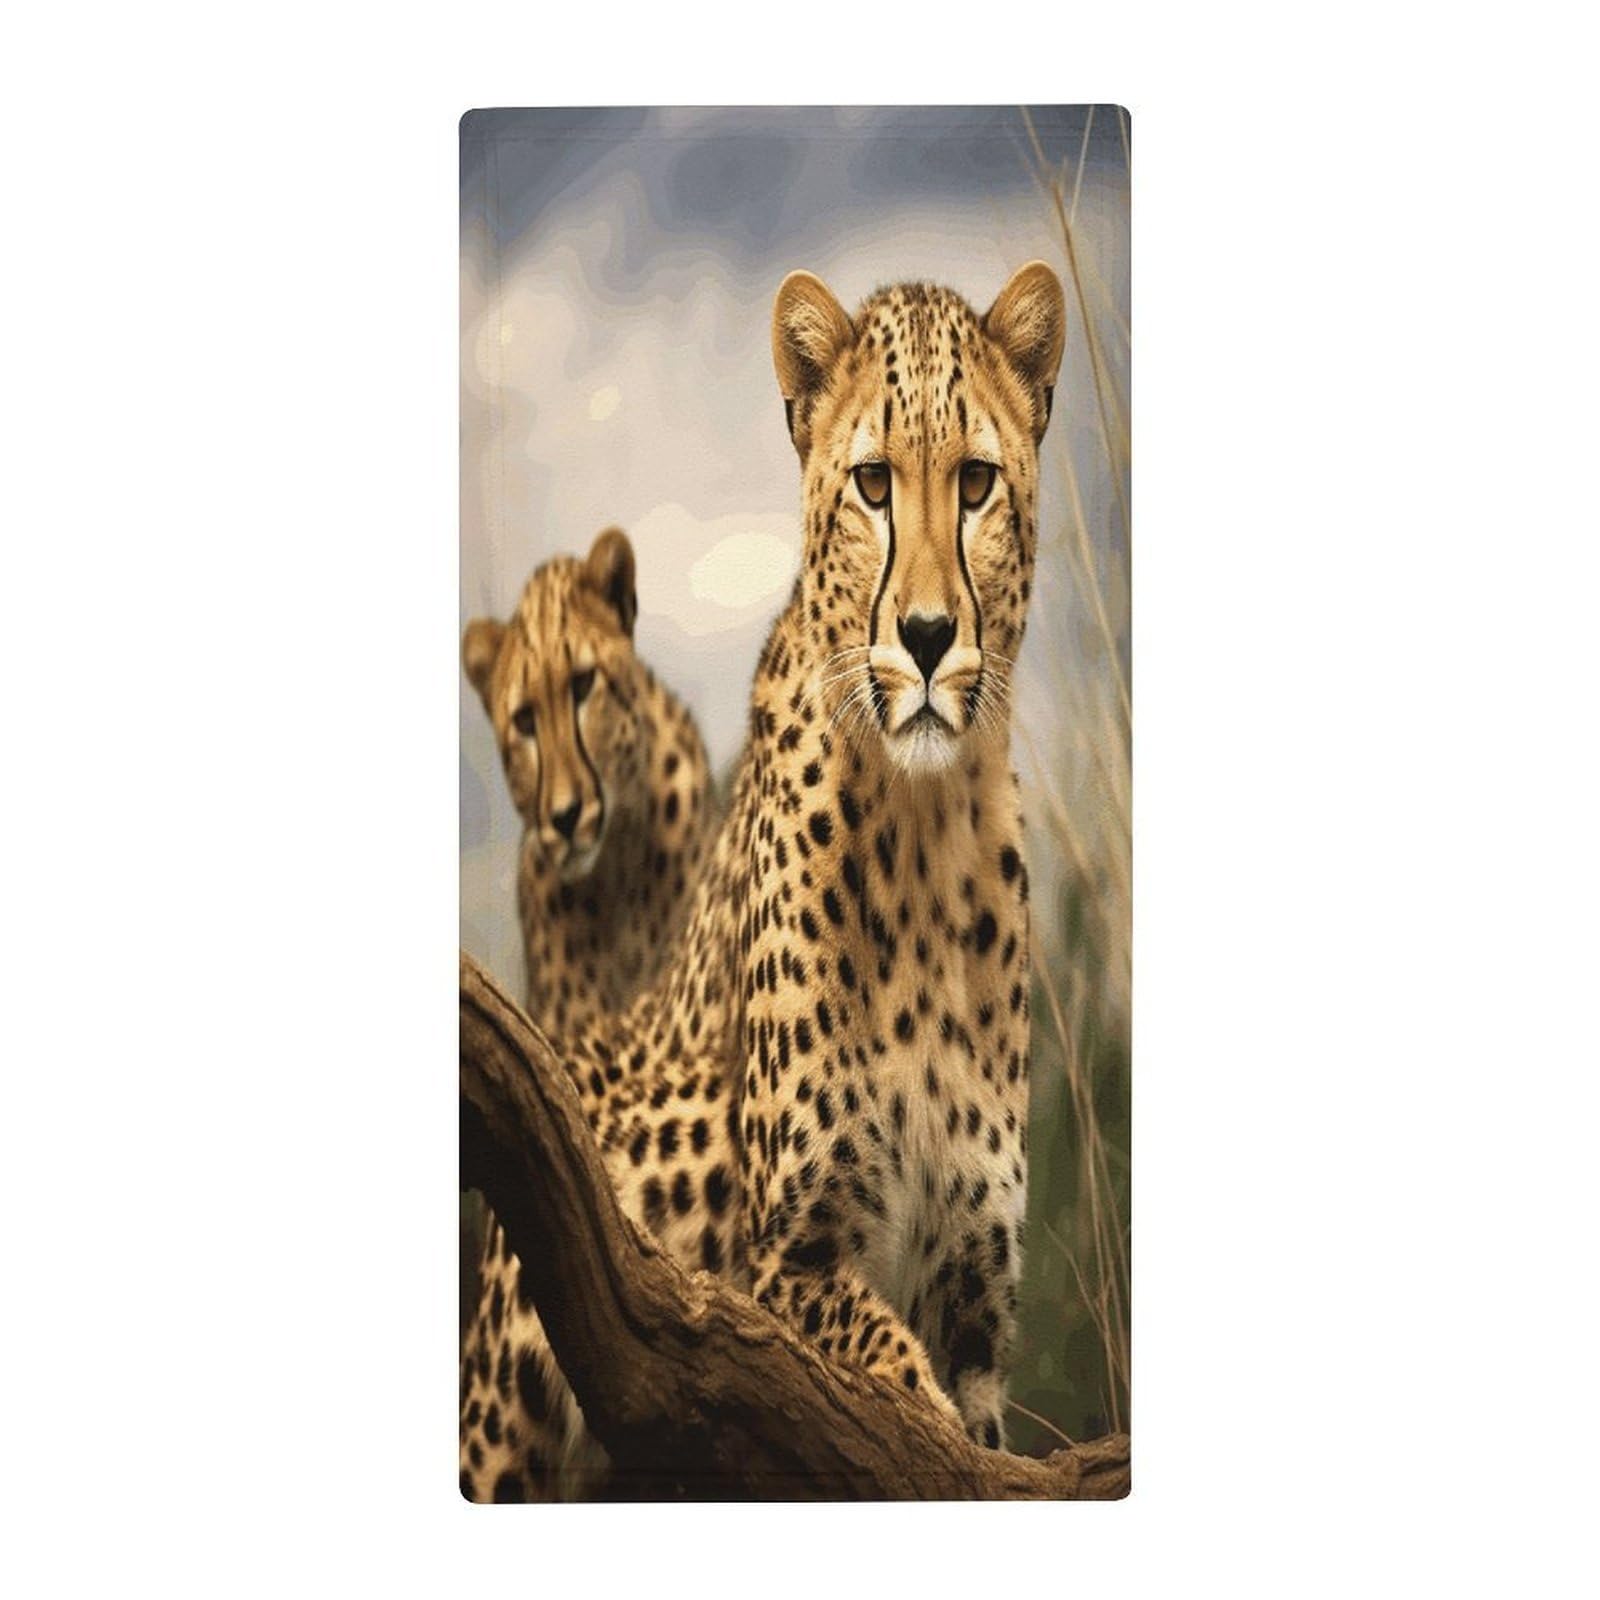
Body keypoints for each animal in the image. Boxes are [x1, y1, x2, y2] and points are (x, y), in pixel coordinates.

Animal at [458, 262, 1066, 1499]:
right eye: (873, 484)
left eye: (976, 483)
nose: (926, 635)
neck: (927, 823)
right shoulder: (784, 1270)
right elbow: (901, 1400)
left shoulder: (976, 1310)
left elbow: (967, 1434)